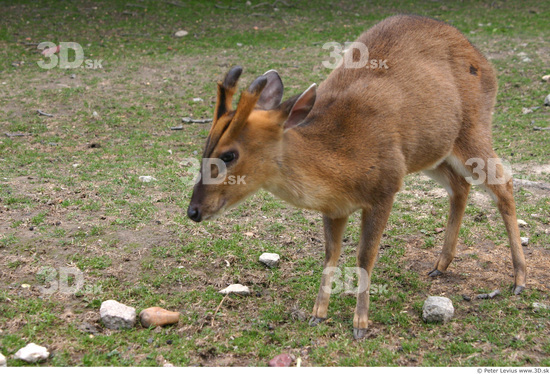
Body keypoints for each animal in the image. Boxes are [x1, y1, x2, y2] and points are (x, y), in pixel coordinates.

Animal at [188, 14, 528, 338]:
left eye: (229, 155)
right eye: (205, 145)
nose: (193, 211)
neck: (342, 164)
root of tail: (483, 60)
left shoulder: (385, 188)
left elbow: (365, 256)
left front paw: (360, 325)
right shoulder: (334, 207)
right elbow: (331, 254)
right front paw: (317, 314)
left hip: (474, 128)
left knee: (504, 184)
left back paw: (519, 279)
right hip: (432, 151)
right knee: (460, 186)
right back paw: (440, 266)